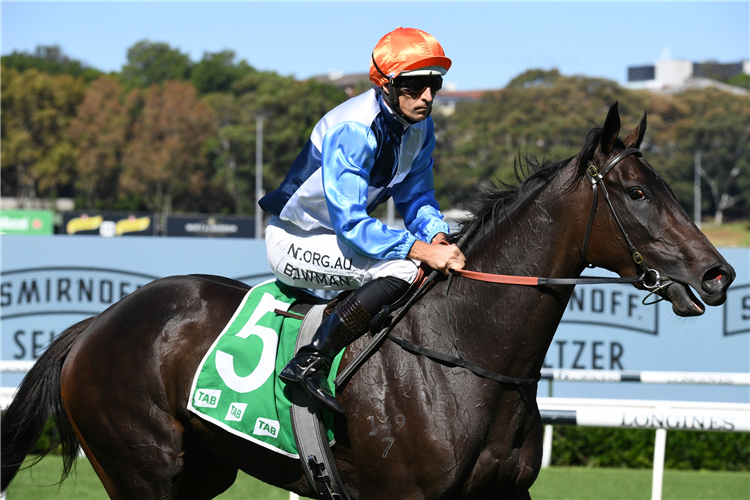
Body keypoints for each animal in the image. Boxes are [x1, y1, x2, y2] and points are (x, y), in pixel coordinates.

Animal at [0, 102, 735, 499]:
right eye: (636, 193)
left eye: (669, 187)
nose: (718, 272)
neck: (465, 357)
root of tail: (97, 323)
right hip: (142, 470)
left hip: (201, 471)